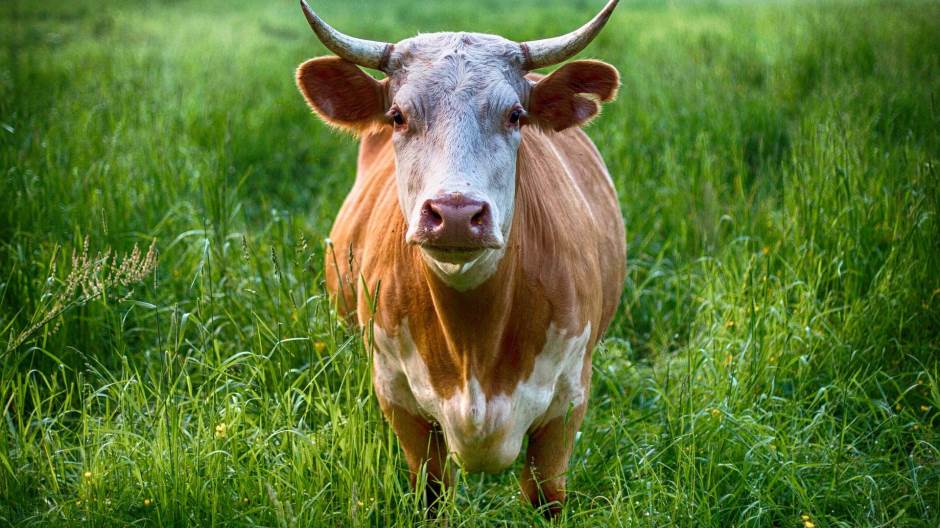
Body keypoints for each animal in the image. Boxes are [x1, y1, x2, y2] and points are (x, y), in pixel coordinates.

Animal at [295, 0, 626, 516]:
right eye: (397, 116)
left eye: (515, 115)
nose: (454, 214)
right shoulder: (398, 399)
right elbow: (431, 493)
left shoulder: (568, 403)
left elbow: (546, 497)